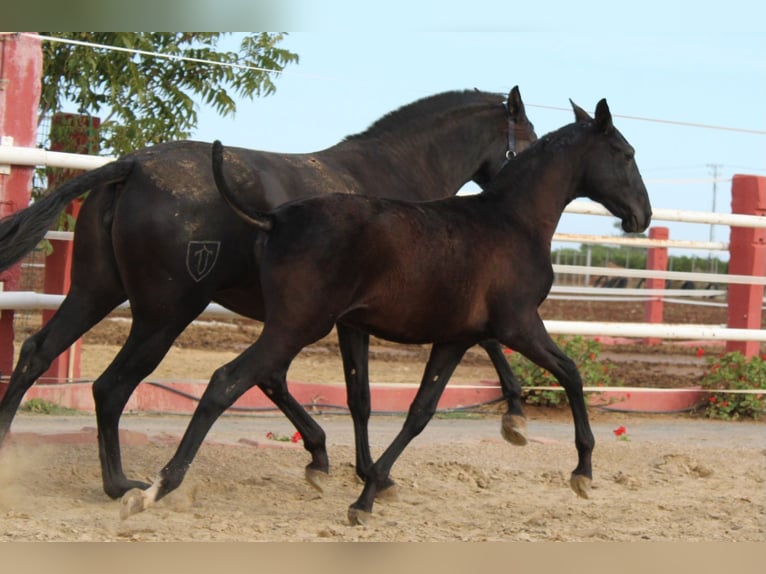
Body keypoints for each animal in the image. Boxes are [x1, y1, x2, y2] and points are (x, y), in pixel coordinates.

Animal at [0, 88, 540, 502]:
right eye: (532, 139)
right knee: (111, 386)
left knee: (37, 353)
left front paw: (326, 457)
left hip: (96, 291)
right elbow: (362, 394)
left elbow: (287, 382)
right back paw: (121, 484)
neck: (395, 175)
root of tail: (130, 166)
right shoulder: (366, 315)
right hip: (165, 313)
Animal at [121, 97, 656, 524]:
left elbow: (419, 412)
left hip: (292, 326)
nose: (642, 216)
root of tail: (275, 218)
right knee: (224, 383)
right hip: (296, 325)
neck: (512, 221)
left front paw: (370, 491)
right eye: (626, 154)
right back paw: (155, 489)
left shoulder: (455, 338)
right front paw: (582, 471)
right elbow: (571, 374)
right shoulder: (519, 324)